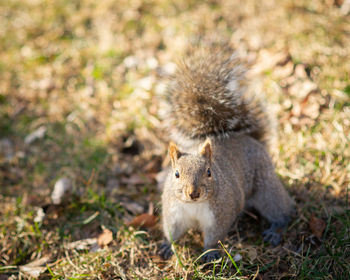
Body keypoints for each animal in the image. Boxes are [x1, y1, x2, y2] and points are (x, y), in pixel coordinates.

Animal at [159, 41, 296, 262]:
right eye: (176, 174)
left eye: (209, 172)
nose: (194, 193)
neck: (194, 206)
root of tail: (248, 139)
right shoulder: (174, 213)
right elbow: (172, 231)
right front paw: (167, 246)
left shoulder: (221, 215)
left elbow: (214, 237)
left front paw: (209, 253)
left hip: (267, 190)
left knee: (282, 211)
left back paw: (275, 230)